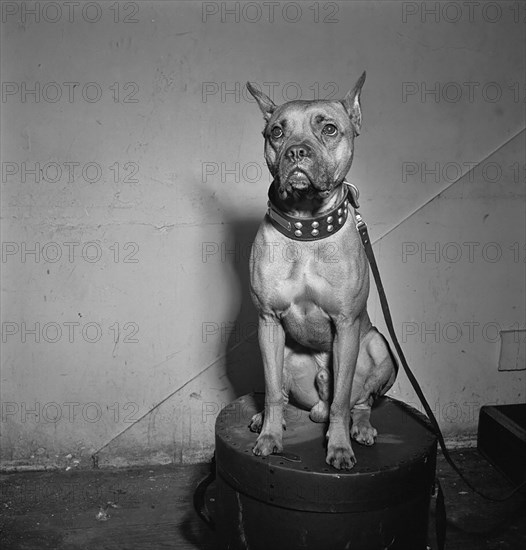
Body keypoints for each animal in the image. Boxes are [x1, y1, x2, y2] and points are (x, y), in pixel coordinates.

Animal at [245, 71, 398, 472]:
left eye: (329, 129)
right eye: (276, 132)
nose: (297, 151)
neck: (306, 228)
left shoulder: (345, 325)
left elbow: (342, 400)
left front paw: (340, 445)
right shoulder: (268, 321)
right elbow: (271, 391)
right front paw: (270, 437)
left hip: (378, 345)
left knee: (359, 401)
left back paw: (360, 428)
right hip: (279, 349)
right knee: (282, 394)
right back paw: (267, 419)